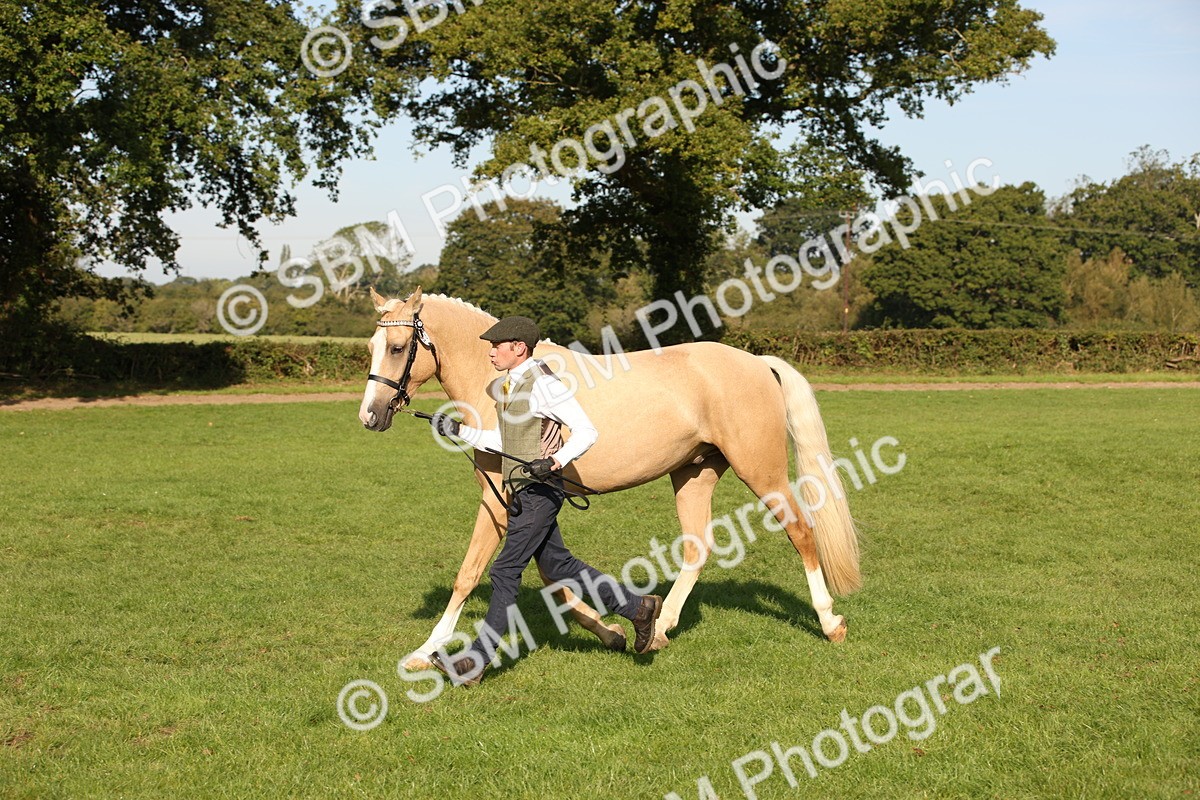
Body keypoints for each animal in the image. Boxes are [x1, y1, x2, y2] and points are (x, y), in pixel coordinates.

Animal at [358, 287, 860, 669]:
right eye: (369, 348)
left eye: (398, 348)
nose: (370, 416)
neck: (500, 384)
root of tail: (756, 361)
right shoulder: (528, 500)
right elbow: (553, 574)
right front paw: (614, 631)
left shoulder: (502, 497)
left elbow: (471, 573)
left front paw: (425, 651)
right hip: (694, 473)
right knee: (698, 546)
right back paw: (660, 628)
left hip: (762, 471)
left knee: (801, 532)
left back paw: (830, 623)